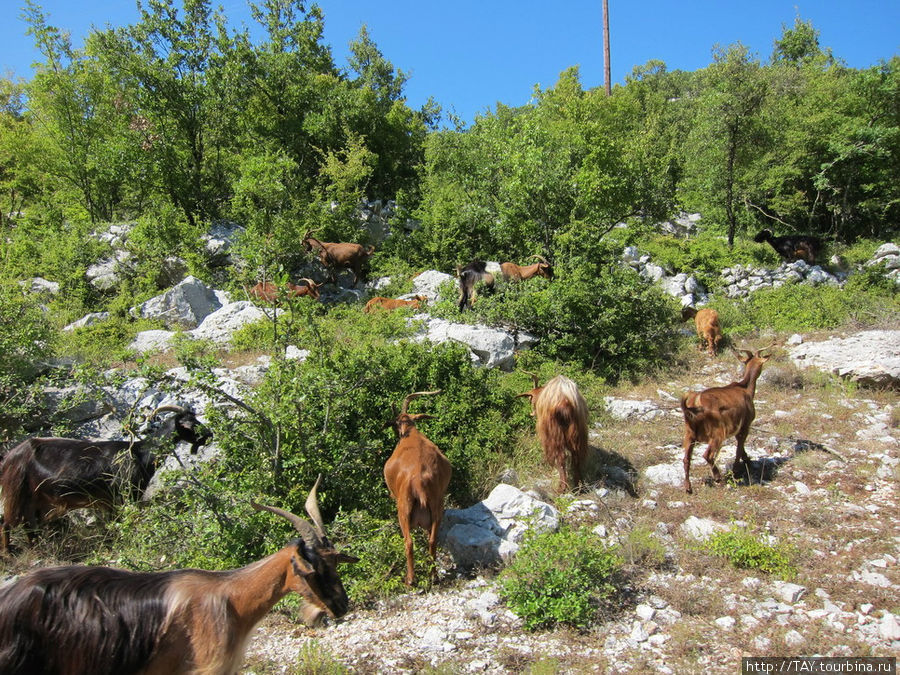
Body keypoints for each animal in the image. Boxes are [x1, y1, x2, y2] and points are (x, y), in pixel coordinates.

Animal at [0, 406, 211, 556]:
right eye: (189, 424)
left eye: (196, 419)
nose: (209, 435)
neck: (140, 453)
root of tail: (9, 457)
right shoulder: (125, 496)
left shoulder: (111, 502)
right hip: (16, 491)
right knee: (7, 522)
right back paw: (9, 553)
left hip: (36, 498)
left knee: (28, 524)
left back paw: (36, 549)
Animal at [384, 390, 450, 588]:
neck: (412, 434)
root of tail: (419, 482)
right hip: (437, 509)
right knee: (432, 540)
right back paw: (434, 576)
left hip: (403, 511)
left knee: (409, 542)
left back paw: (411, 579)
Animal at [680, 346, 776, 494]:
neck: (745, 388)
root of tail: (695, 403)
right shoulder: (745, 425)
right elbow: (739, 448)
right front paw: (736, 471)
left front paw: (748, 461)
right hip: (717, 434)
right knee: (707, 455)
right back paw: (718, 477)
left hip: (689, 434)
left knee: (686, 459)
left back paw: (688, 487)